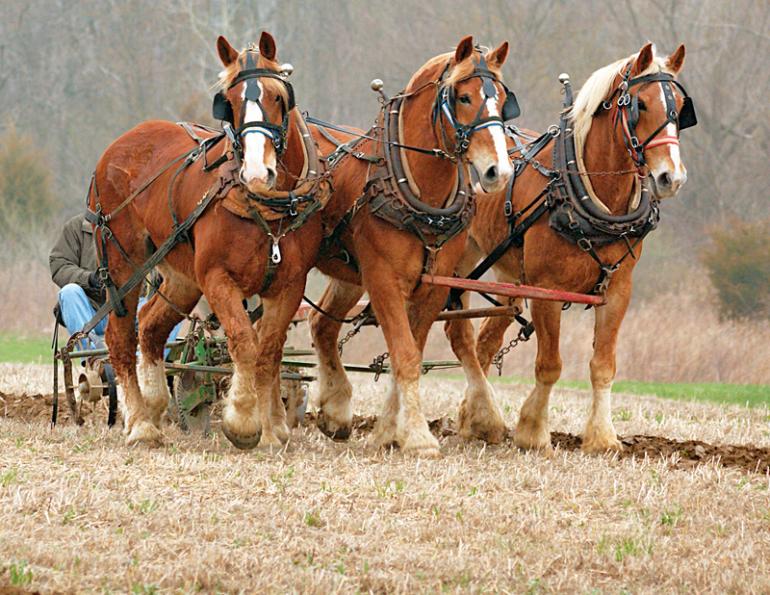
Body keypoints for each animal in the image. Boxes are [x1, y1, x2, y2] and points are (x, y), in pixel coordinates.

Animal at [89, 33, 329, 449]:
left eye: (278, 96)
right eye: (229, 102)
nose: (256, 172)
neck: (263, 207)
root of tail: (115, 148)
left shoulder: (289, 285)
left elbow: (269, 351)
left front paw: (273, 428)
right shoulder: (217, 278)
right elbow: (244, 342)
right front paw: (243, 422)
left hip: (181, 276)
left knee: (150, 327)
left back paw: (156, 404)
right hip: (124, 264)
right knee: (120, 337)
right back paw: (140, 424)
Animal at [307, 36, 516, 457]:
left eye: (502, 100)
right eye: (463, 97)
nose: (498, 172)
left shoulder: (433, 287)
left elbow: (412, 355)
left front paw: (389, 431)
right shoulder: (383, 280)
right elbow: (402, 353)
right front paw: (418, 437)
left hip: (348, 273)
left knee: (321, 325)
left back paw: (335, 411)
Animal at [444, 42, 695, 452]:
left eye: (680, 105)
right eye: (640, 104)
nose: (670, 177)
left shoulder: (618, 290)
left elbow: (603, 365)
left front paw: (603, 437)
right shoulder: (547, 290)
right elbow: (550, 364)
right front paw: (533, 432)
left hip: (510, 276)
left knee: (484, 343)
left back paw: (475, 418)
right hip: (459, 263)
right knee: (458, 334)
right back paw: (485, 416)